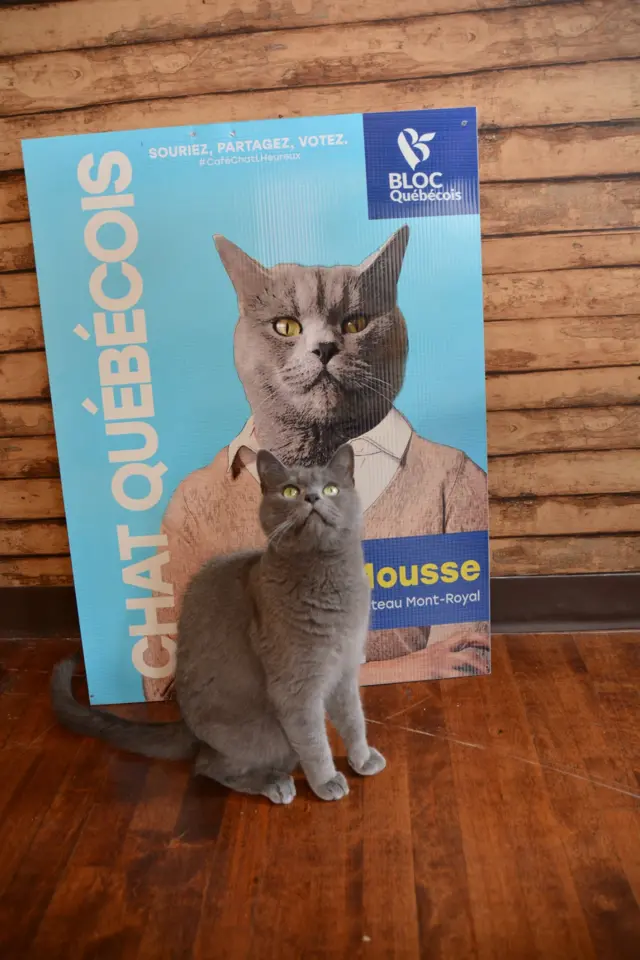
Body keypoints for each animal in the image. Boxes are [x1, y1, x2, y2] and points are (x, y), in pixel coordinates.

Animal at [50, 446, 384, 808]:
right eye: (290, 491)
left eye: (331, 489)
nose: (311, 497)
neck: (328, 579)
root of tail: (187, 726)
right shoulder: (295, 687)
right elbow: (314, 740)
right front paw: (326, 781)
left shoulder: (345, 668)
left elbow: (354, 719)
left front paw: (363, 758)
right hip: (267, 734)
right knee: (208, 765)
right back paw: (275, 783)